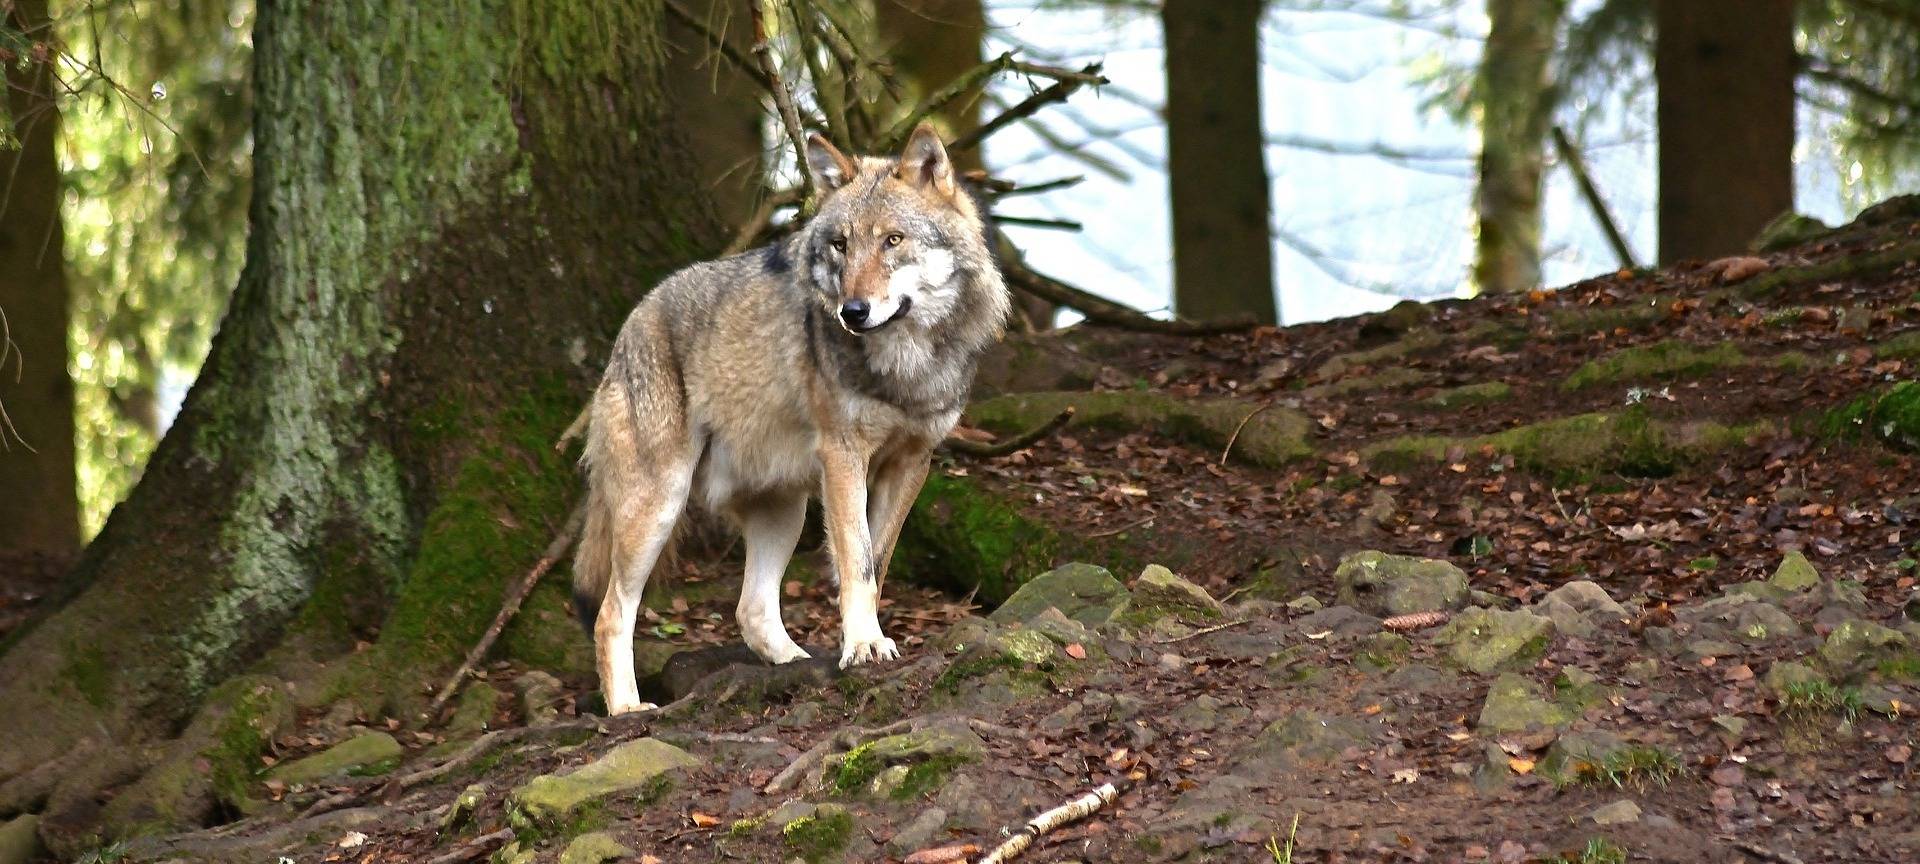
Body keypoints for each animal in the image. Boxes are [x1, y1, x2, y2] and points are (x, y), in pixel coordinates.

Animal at [570, 123, 1010, 715]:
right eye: (841, 245)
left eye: (893, 241)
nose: (852, 312)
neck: (905, 365)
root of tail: (632, 321)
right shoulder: (844, 456)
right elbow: (856, 560)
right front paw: (863, 646)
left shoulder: (912, 463)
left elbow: (875, 564)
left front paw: (863, 641)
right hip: (659, 505)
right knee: (610, 613)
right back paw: (627, 709)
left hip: (785, 511)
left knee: (751, 611)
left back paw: (796, 664)